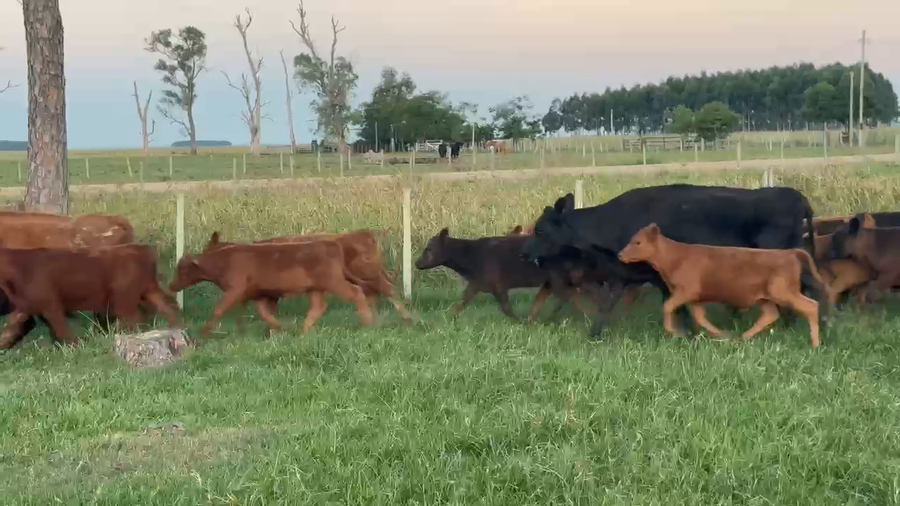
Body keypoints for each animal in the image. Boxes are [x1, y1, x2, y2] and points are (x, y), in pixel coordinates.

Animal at [0, 244, 179, 349]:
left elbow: (62, 329)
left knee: (136, 319)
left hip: (125, 299)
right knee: (168, 306)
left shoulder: (50, 304)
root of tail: (145, 251)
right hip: (148, 291)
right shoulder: (32, 308)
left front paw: (74, 348)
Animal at [169, 241, 374, 335]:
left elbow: (219, 309)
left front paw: (205, 332)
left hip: (334, 282)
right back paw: (303, 332)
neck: (224, 261)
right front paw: (279, 328)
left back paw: (367, 324)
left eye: (183, 269)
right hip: (315, 288)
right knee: (318, 307)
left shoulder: (235, 290)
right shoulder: (260, 295)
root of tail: (330, 242)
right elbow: (264, 313)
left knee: (356, 293)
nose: (171, 286)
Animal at [523, 184, 817, 338]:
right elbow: (607, 305)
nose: (524, 253)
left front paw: (686, 334)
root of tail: (795, 195)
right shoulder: (625, 272)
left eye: (540, 229)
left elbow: (678, 307)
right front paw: (594, 335)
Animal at [618, 224, 828, 348]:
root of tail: (790, 252)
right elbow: (700, 317)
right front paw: (721, 335)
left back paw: (815, 343)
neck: (675, 257)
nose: (620, 254)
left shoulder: (686, 292)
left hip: (784, 292)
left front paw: (674, 331)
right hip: (764, 297)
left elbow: (668, 306)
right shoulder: (695, 298)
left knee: (811, 306)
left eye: (637, 242)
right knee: (770, 314)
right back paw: (742, 337)